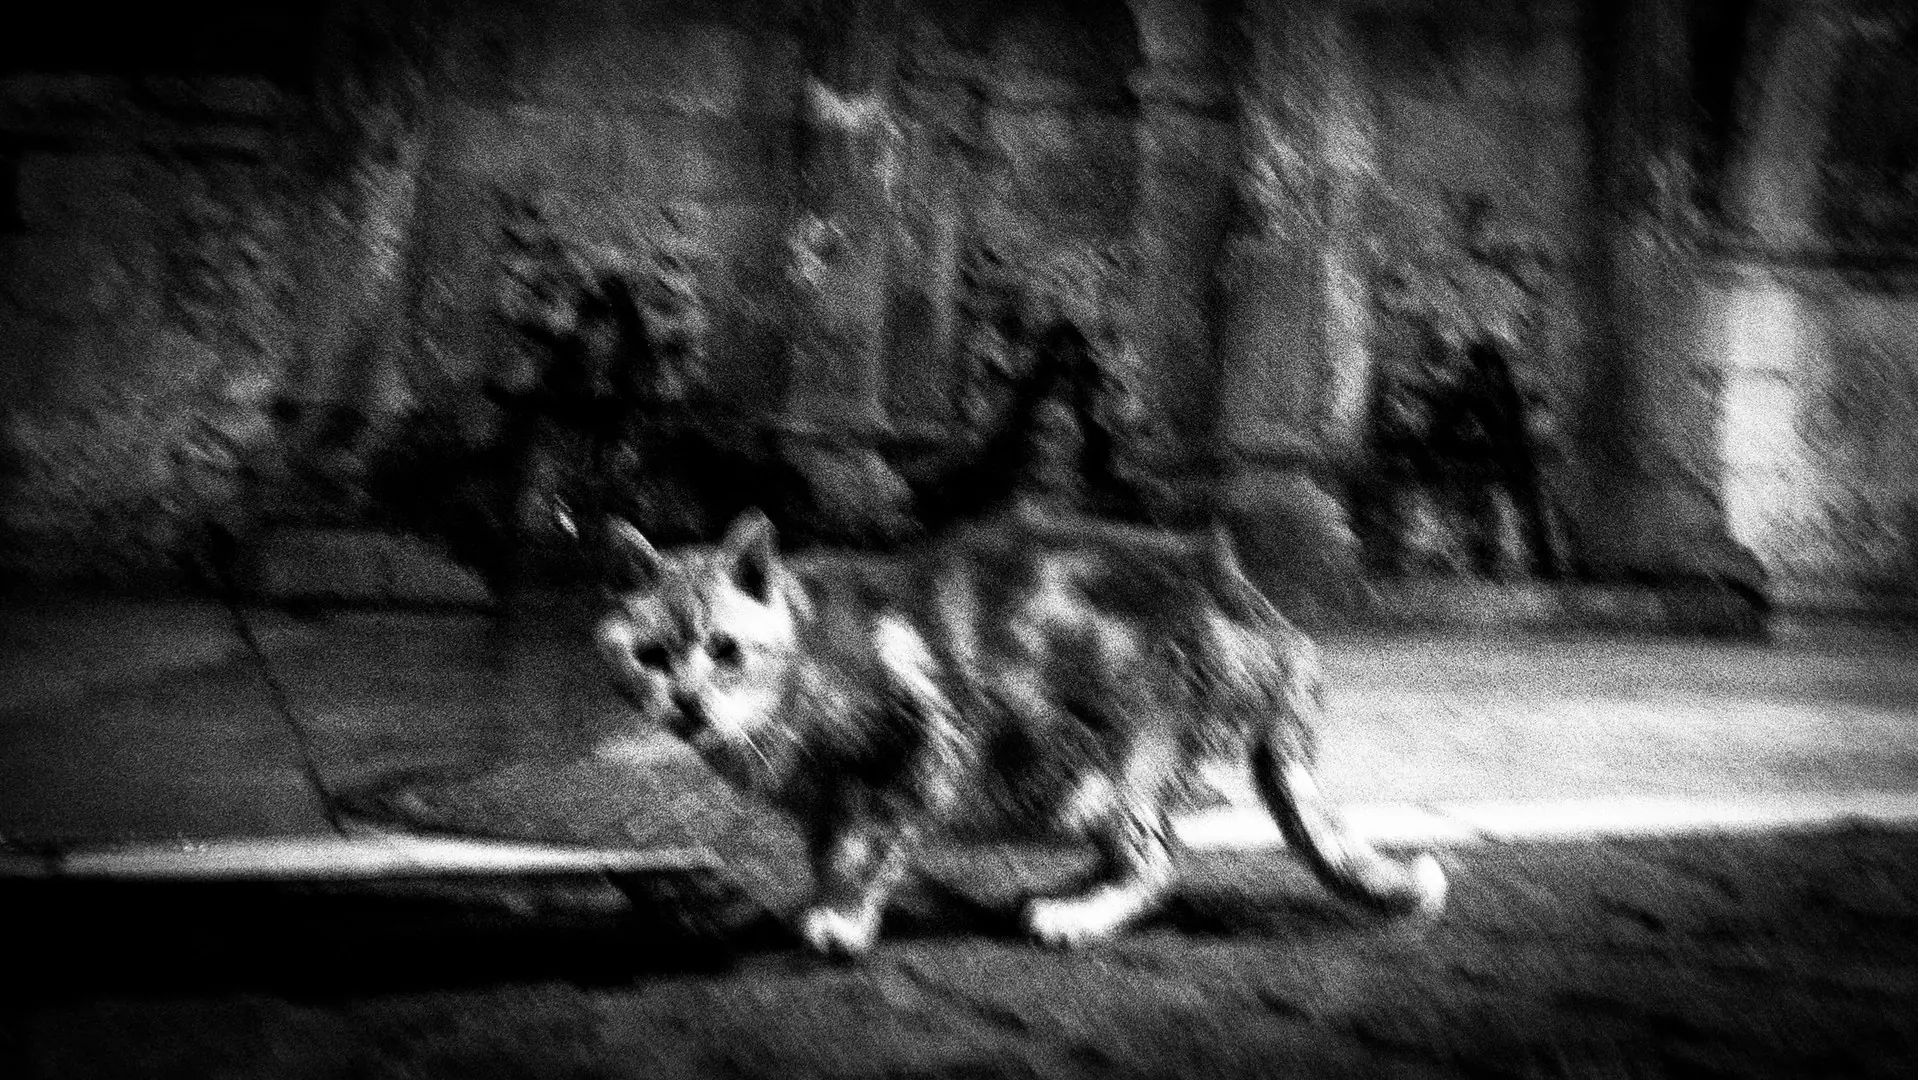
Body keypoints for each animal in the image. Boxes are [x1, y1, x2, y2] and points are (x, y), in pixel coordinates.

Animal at [597, 501, 1447, 956]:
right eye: (651, 656)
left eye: (724, 650)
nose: (687, 703)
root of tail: (1243, 594)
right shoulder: (829, 799)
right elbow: (829, 851)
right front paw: (823, 904)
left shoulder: (901, 756)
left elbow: (866, 852)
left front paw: (844, 919)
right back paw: (1070, 886)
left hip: (1105, 762)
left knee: (1160, 860)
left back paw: (1079, 913)